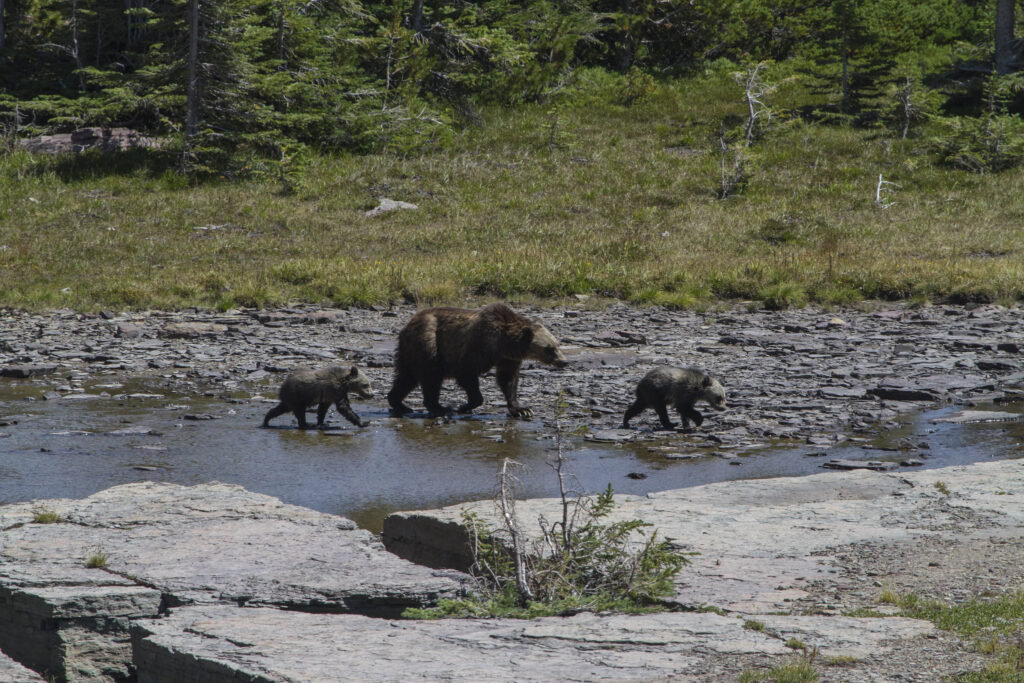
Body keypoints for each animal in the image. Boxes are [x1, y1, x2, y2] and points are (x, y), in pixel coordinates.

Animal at [387, 302, 568, 419]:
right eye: (549, 348)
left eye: (558, 344)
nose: (564, 361)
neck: (504, 343)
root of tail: (407, 324)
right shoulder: (477, 347)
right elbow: (466, 373)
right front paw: (464, 406)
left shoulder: (508, 358)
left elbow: (508, 380)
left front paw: (522, 409)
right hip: (428, 342)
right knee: (431, 375)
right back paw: (441, 408)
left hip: (410, 352)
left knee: (406, 377)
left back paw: (400, 403)